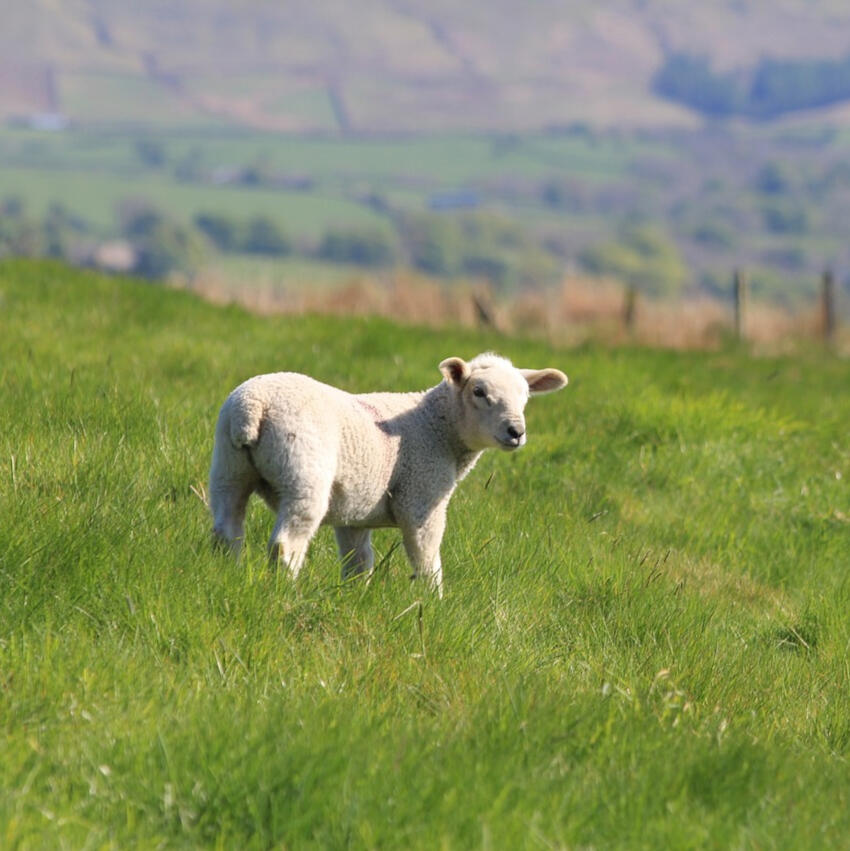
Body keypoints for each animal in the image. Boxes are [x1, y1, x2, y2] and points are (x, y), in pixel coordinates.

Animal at [209, 353, 567, 595]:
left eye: (525, 396)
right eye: (478, 392)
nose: (516, 432)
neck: (437, 426)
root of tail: (252, 408)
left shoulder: (353, 513)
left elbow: (358, 562)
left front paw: (354, 597)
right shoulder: (421, 498)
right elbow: (426, 560)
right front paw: (432, 604)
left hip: (228, 467)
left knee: (227, 531)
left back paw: (227, 576)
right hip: (303, 472)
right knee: (286, 545)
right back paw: (286, 593)